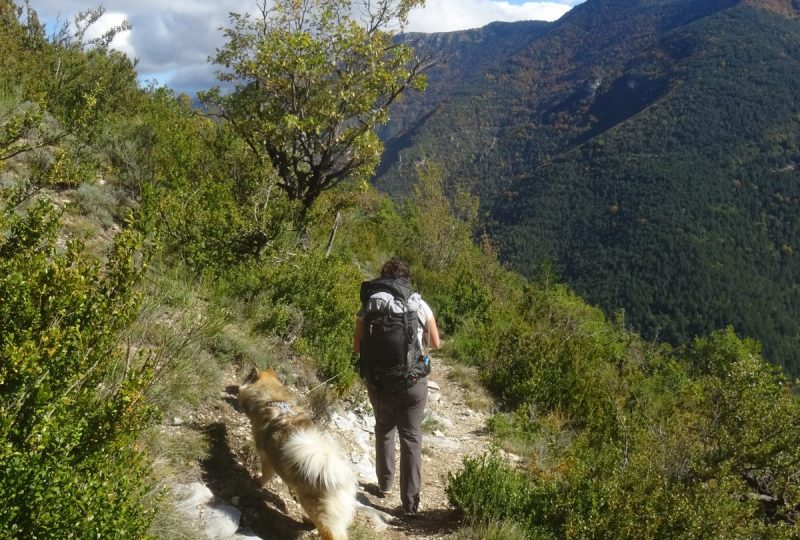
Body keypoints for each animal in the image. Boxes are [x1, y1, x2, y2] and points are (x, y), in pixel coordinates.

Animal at [238, 368, 356, 540]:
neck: (273, 400)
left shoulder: (266, 456)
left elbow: (265, 475)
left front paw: (257, 481)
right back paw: (307, 520)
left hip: (318, 508)